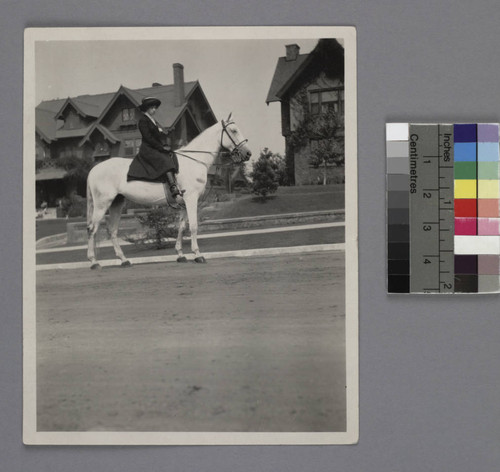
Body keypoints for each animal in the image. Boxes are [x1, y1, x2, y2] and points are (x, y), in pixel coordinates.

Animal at [86, 115, 252, 270]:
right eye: (234, 130)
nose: (248, 153)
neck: (193, 160)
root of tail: (93, 170)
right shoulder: (191, 199)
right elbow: (193, 226)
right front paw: (197, 254)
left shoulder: (184, 203)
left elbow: (181, 227)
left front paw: (180, 254)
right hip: (102, 204)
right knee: (92, 229)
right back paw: (94, 262)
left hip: (117, 203)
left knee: (112, 230)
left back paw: (124, 260)